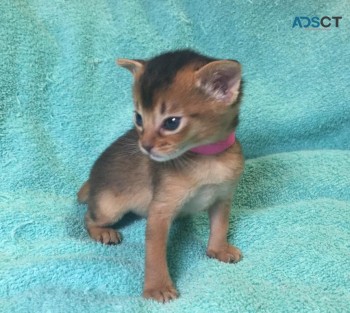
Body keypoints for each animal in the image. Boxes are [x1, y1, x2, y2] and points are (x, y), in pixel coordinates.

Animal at [78, 50, 245, 302]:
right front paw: (157, 287)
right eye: (139, 118)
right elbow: (155, 254)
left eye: (172, 122)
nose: (145, 146)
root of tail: (92, 180)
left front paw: (219, 250)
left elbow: (220, 226)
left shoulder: (222, 198)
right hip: (109, 207)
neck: (206, 158)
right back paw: (103, 232)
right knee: (89, 217)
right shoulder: (160, 212)